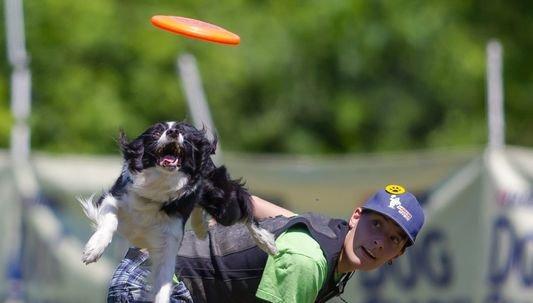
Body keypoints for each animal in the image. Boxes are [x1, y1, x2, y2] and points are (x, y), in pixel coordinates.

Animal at [80, 122, 278, 303]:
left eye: (183, 134)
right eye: (157, 132)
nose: (173, 132)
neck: (160, 183)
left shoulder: (169, 240)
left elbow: (163, 282)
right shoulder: (113, 197)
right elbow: (110, 219)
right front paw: (94, 249)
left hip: (224, 205)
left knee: (244, 210)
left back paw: (266, 242)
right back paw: (201, 228)